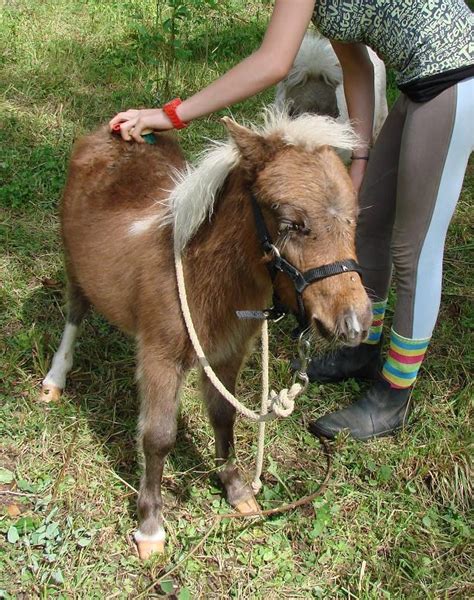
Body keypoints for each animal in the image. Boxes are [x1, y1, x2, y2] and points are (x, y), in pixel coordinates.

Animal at [40, 111, 372, 556]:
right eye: (291, 223)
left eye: (354, 219)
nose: (354, 323)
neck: (205, 278)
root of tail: (107, 132)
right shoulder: (161, 356)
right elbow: (158, 436)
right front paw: (150, 526)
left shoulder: (229, 353)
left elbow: (223, 414)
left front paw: (237, 489)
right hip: (74, 265)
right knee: (75, 312)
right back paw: (55, 379)